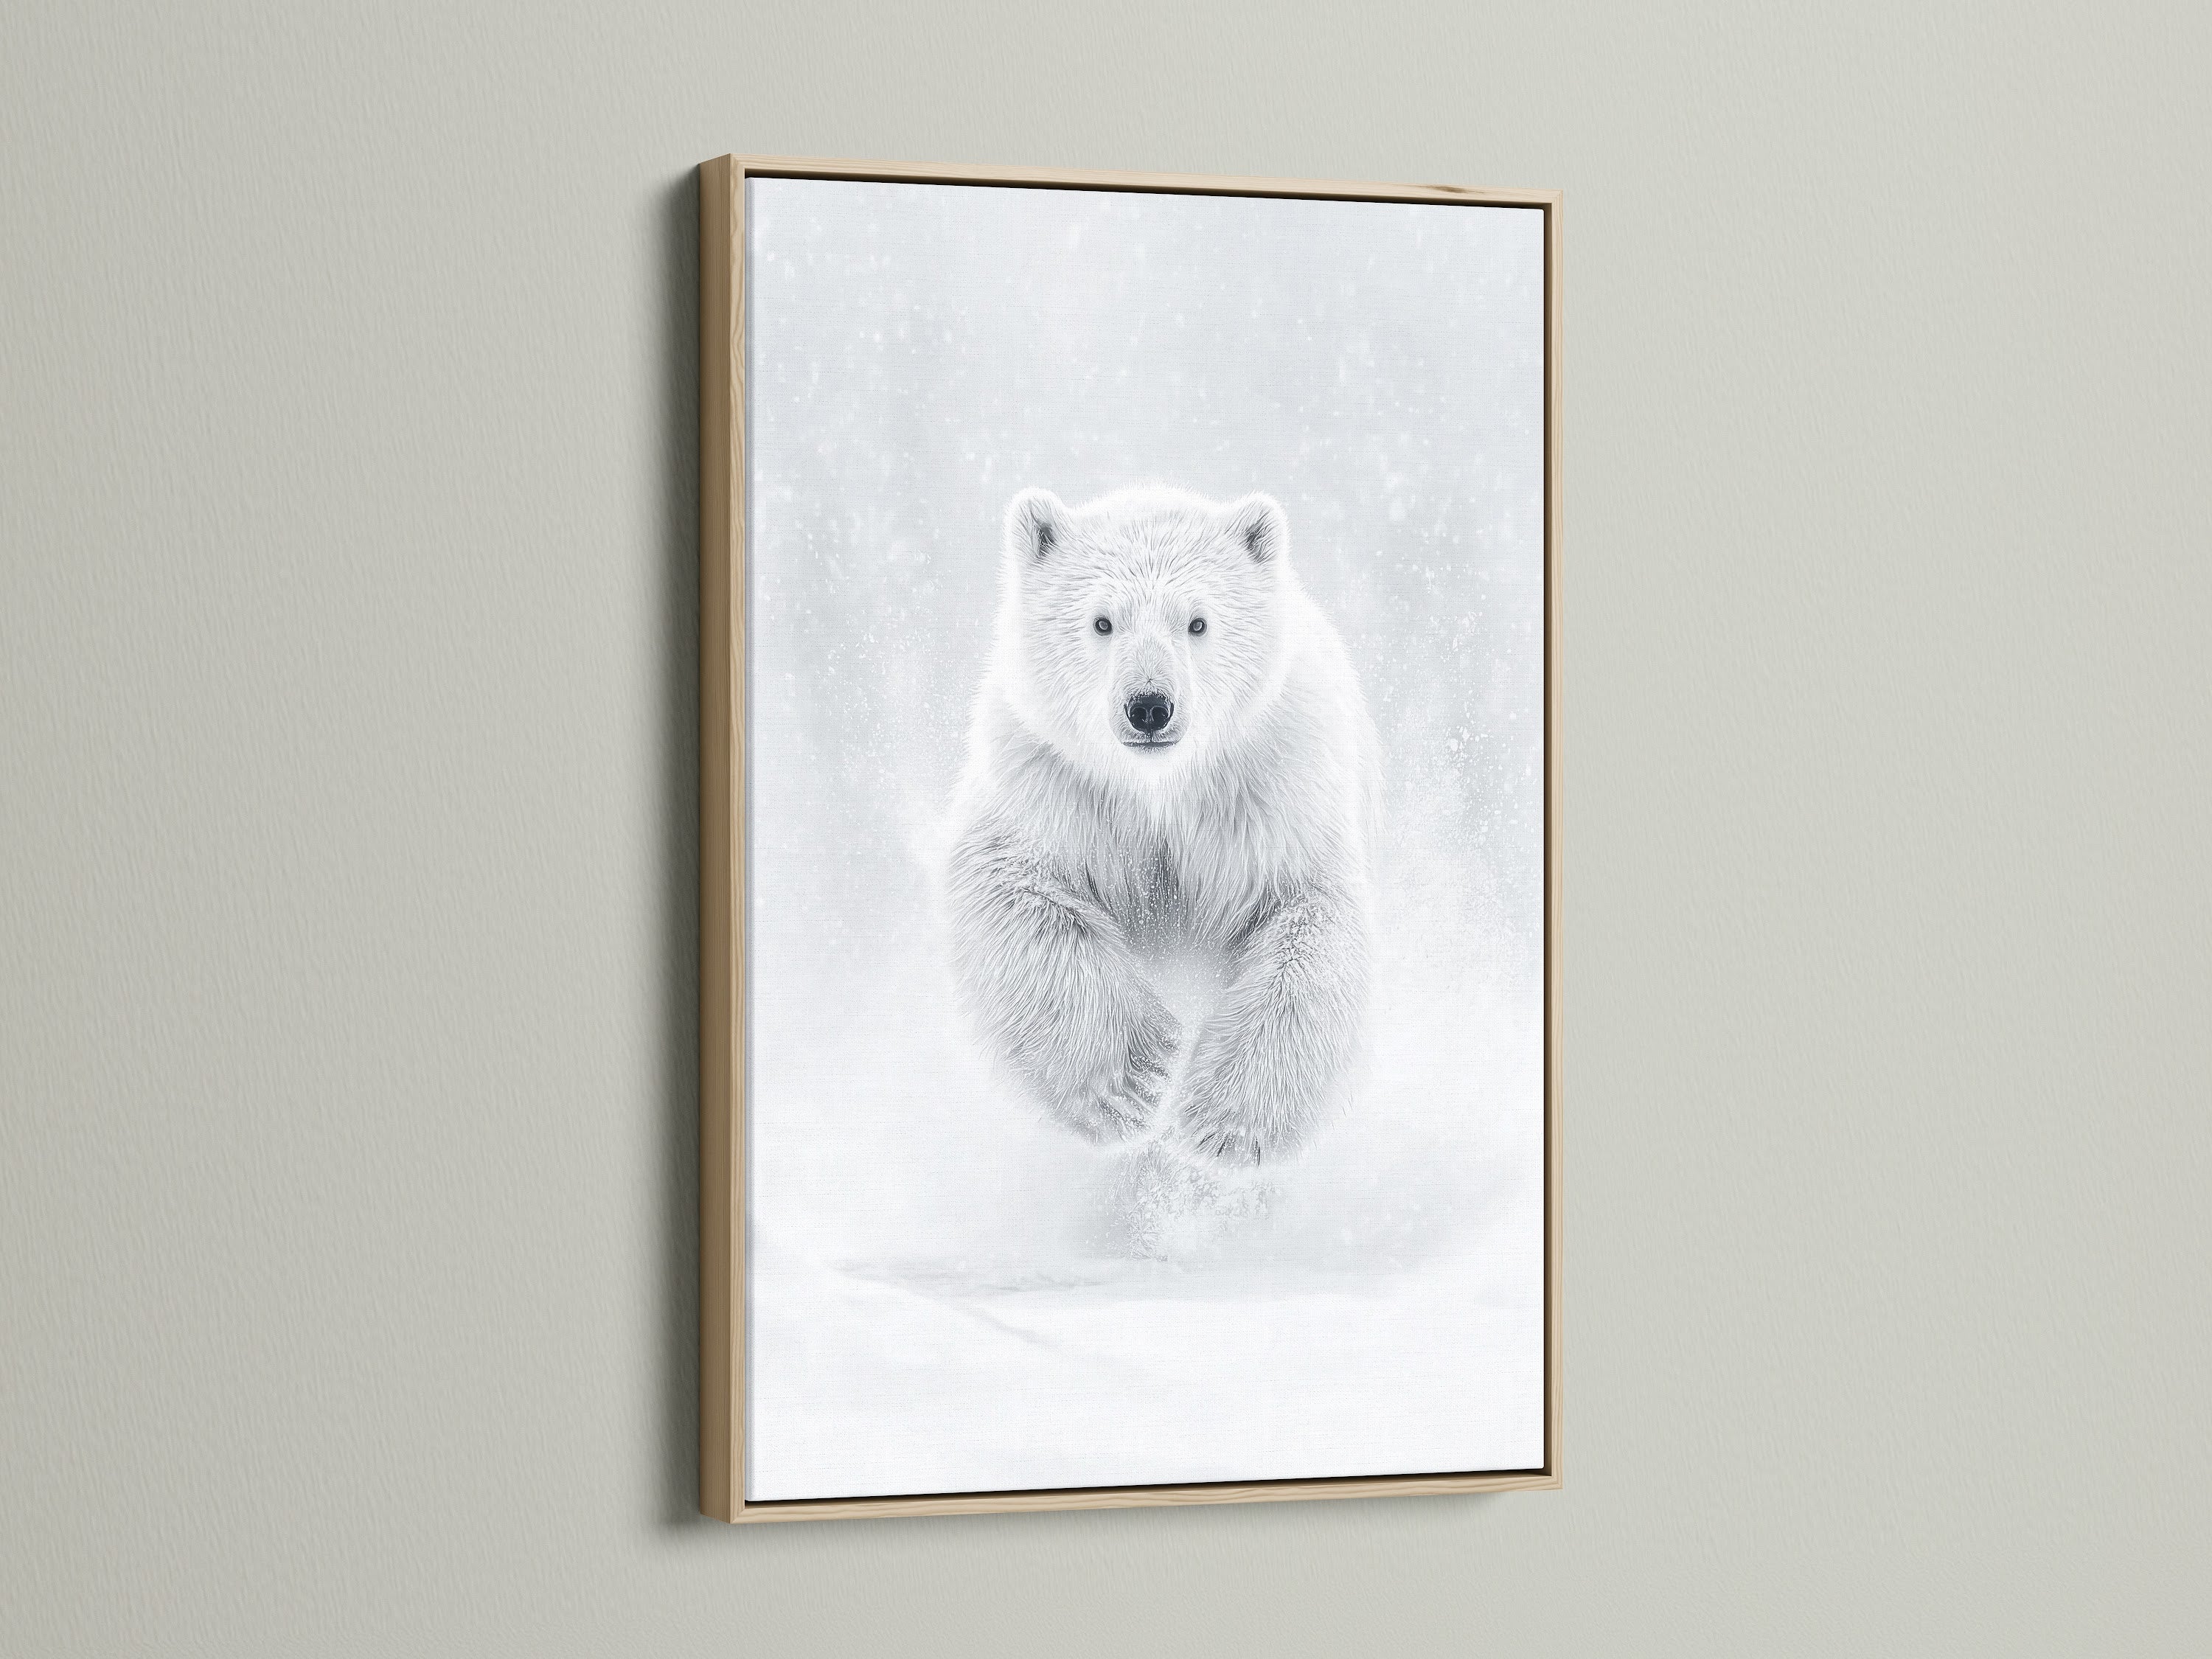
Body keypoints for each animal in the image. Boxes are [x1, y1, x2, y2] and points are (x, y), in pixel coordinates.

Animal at [946, 486, 1378, 1169]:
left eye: (1197, 622)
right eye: (1102, 622)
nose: (1149, 706)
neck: (1160, 789)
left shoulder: (1272, 788)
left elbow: (1308, 922)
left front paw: (1224, 1127)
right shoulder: (1052, 782)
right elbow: (1011, 891)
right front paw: (1134, 1082)